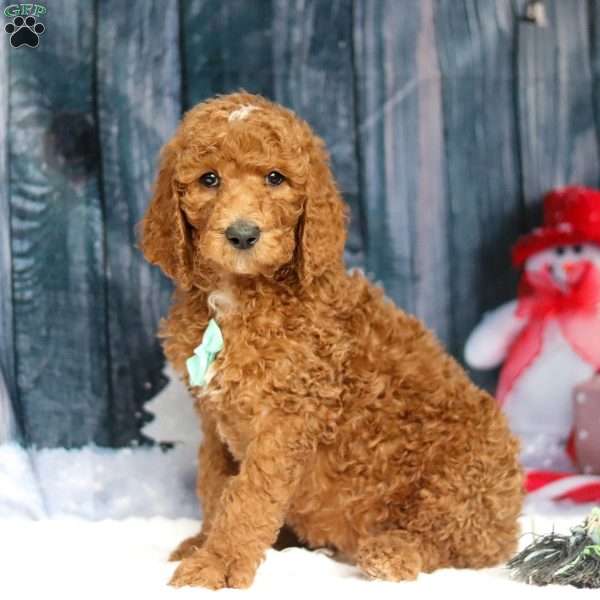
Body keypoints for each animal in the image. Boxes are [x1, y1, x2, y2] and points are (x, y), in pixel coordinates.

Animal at [139, 91, 520, 588]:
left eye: (275, 178)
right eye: (209, 179)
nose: (242, 234)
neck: (238, 298)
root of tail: (510, 521)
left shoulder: (286, 418)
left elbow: (248, 497)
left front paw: (216, 563)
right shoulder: (213, 422)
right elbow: (215, 486)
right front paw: (204, 543)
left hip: (464, 474)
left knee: (450, 540)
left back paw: (393, 553)